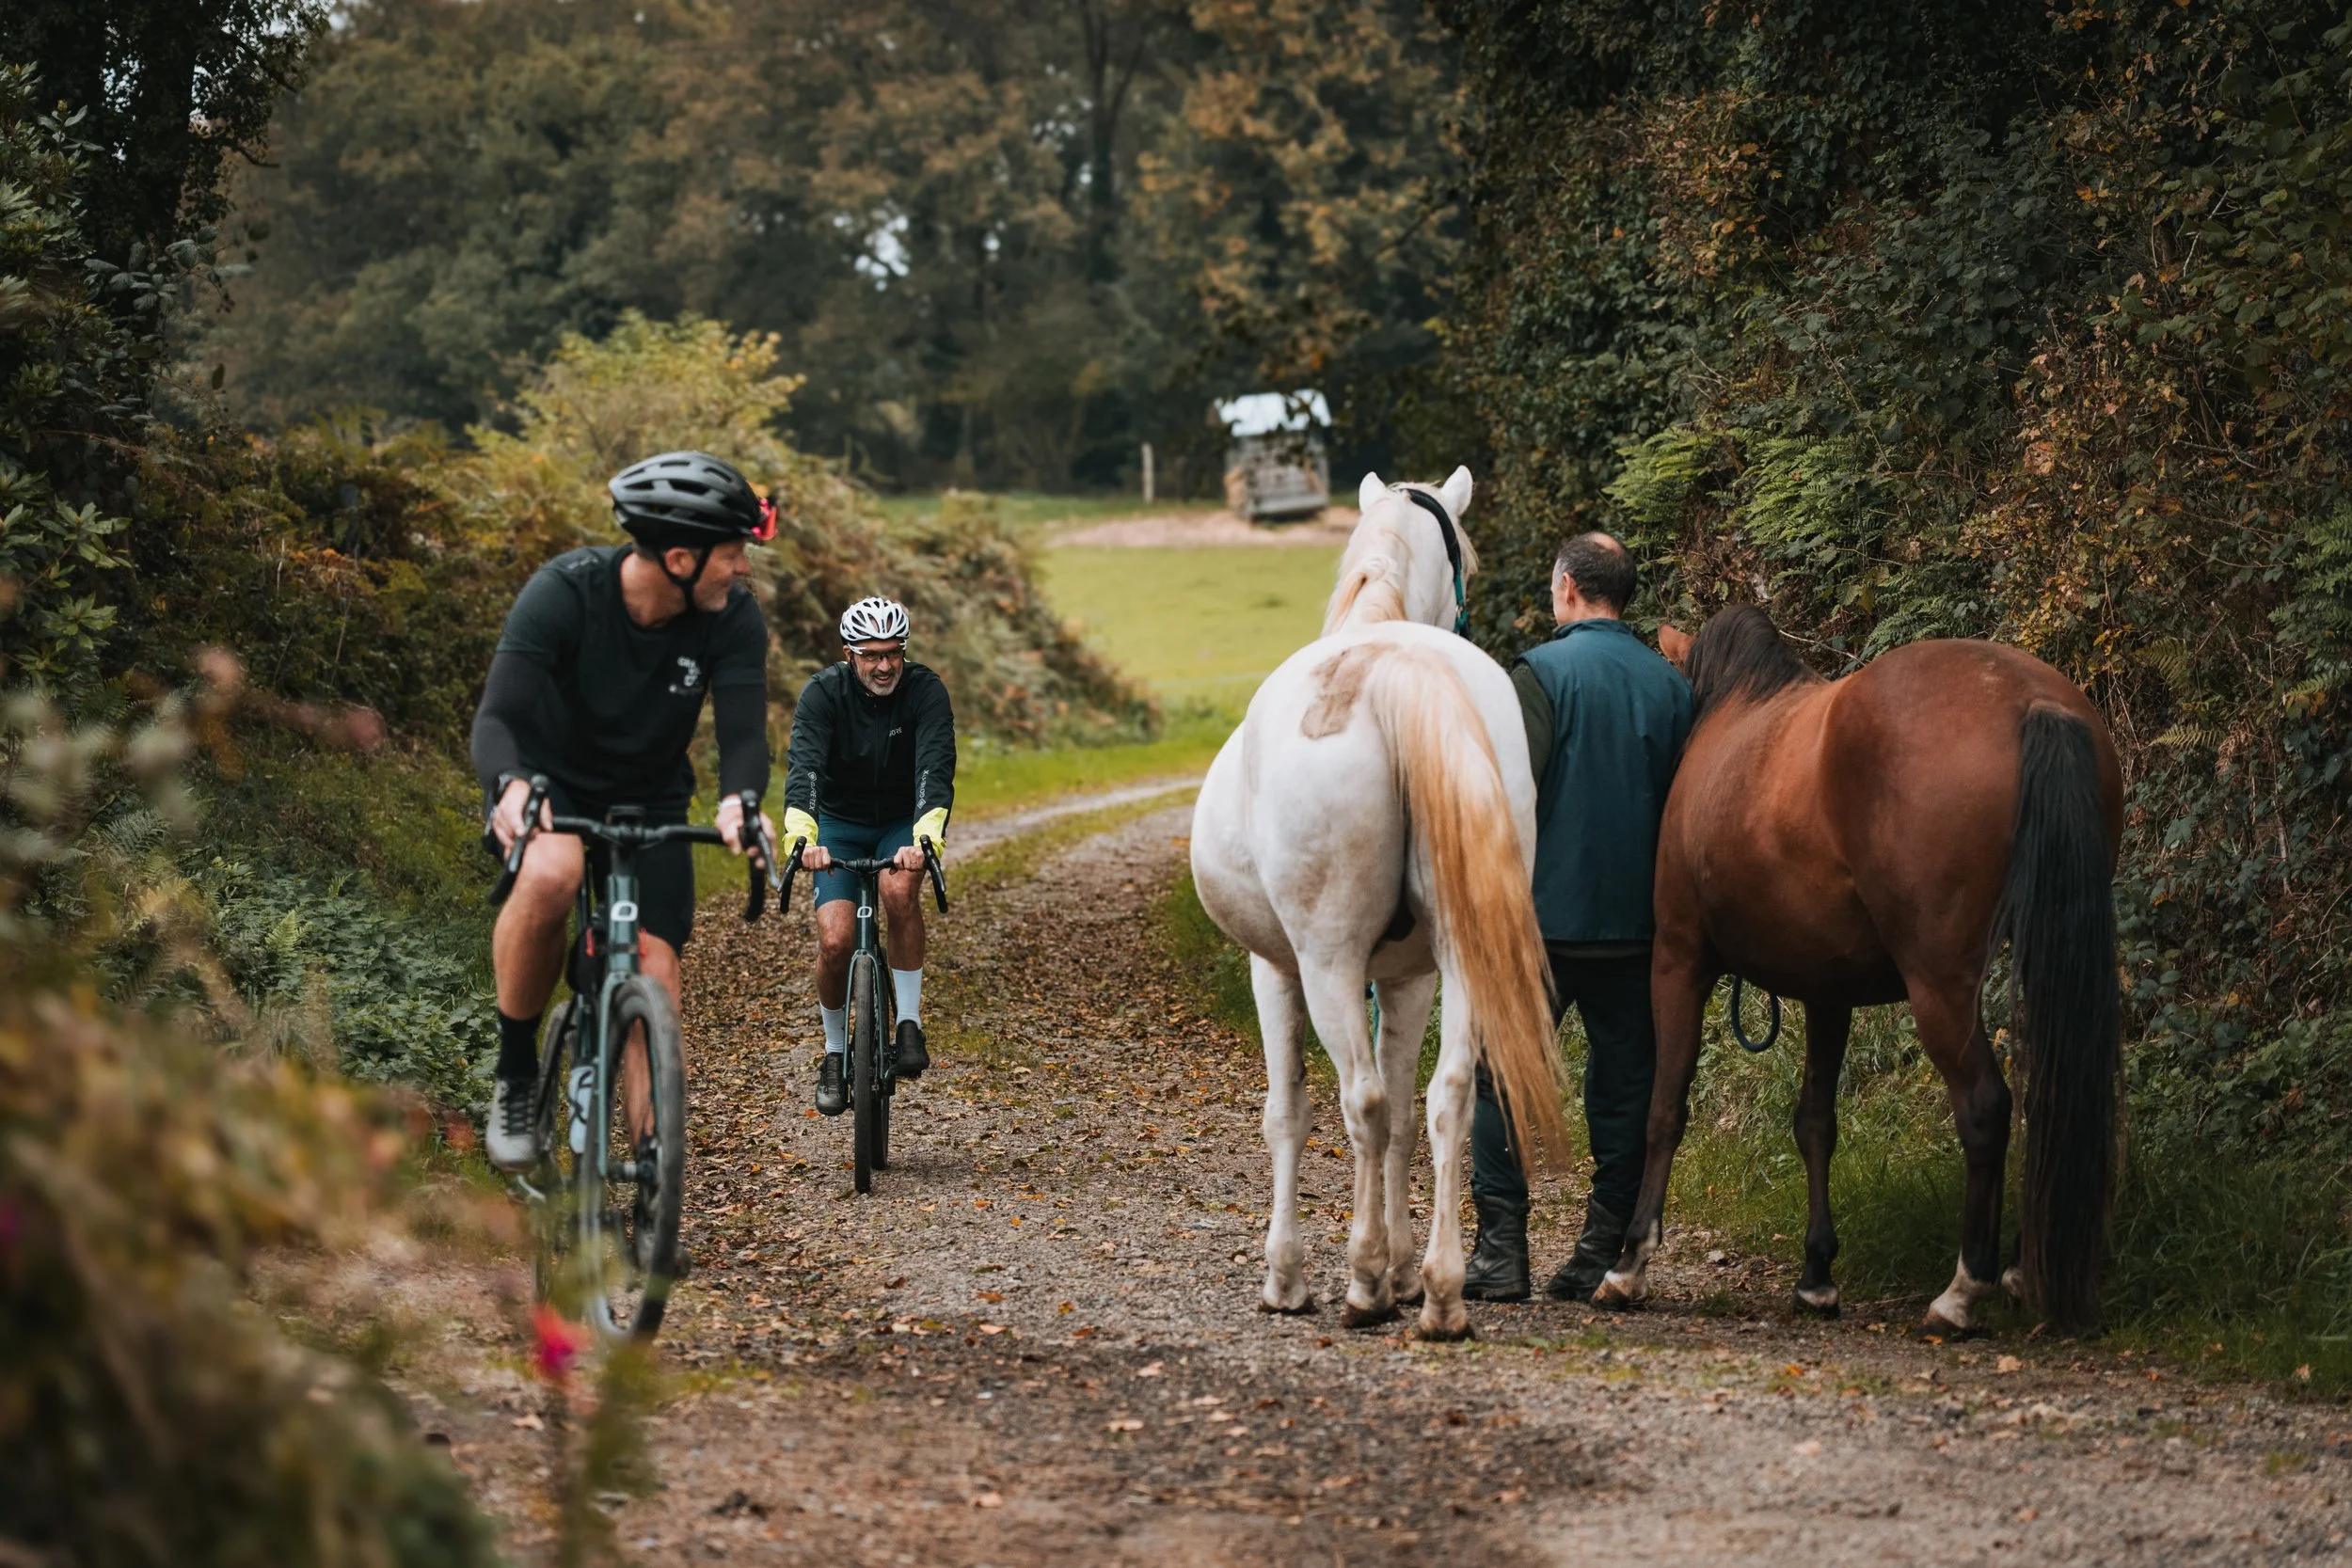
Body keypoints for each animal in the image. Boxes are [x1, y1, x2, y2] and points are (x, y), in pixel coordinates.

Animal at [1189, 468, 1569, 1339]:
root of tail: (1395, 669)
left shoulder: (1274, 967)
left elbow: (1291, 1112)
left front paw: (1290, 1275)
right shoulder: (1407, 976)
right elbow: (1404, 1111)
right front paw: (1402, 1268)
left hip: (1328, 960)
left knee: (1358, 1101)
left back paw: (1362, 1284)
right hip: (1465, 956)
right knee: (1447, 1094)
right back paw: (1438, 1293)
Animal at [1592, 605, 2123, 1332]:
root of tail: (2032, 703)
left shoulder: (1678, 959)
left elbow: (1664, 1108)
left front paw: (1630, 1263)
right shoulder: (1827, 991)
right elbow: (1816, 1123)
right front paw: (1817, 1276)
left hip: (1941, 984)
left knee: (1985, 1106)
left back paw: (1962, 1291)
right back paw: (2020, 1269)